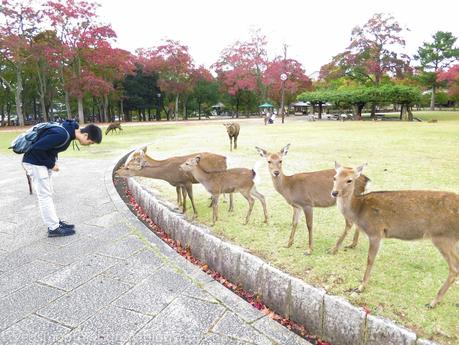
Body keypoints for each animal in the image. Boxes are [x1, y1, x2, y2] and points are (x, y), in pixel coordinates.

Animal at [332, 163, 458, 308]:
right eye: (334, 177)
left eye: (349, 180)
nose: (334, 193)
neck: (359, 210)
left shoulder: (376, 232)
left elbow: (370, 259)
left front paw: (360, 287)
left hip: (443, 236)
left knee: (454, 267)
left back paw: (432, 302)